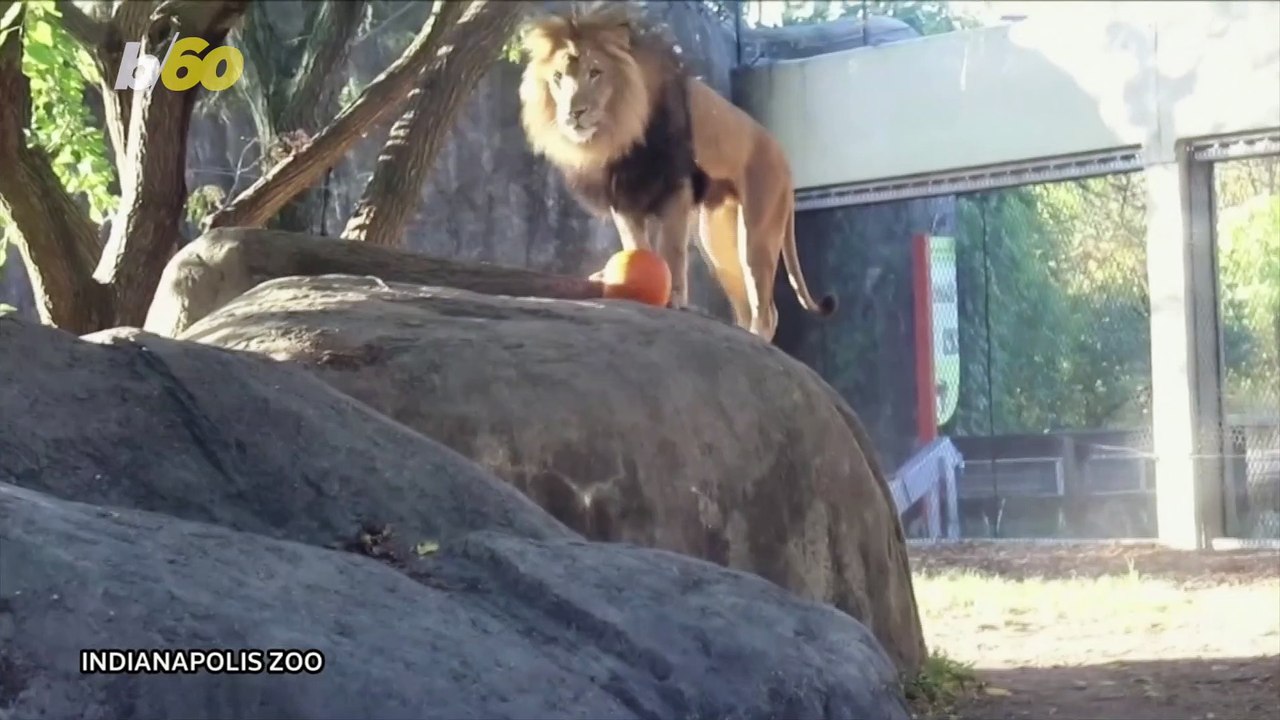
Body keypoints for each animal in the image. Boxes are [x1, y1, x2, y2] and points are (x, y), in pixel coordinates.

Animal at [517, 3, 835, 341]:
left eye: (595, 72)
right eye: (558, 77)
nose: (573, 113)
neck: (619, 133)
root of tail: (785, 159)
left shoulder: (675, 188)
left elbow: (670, 250)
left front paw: (673, 297)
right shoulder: (624, 197)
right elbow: (636, 246)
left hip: (757, 233)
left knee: (766, 310)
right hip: (717, 238)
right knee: (745, 307)